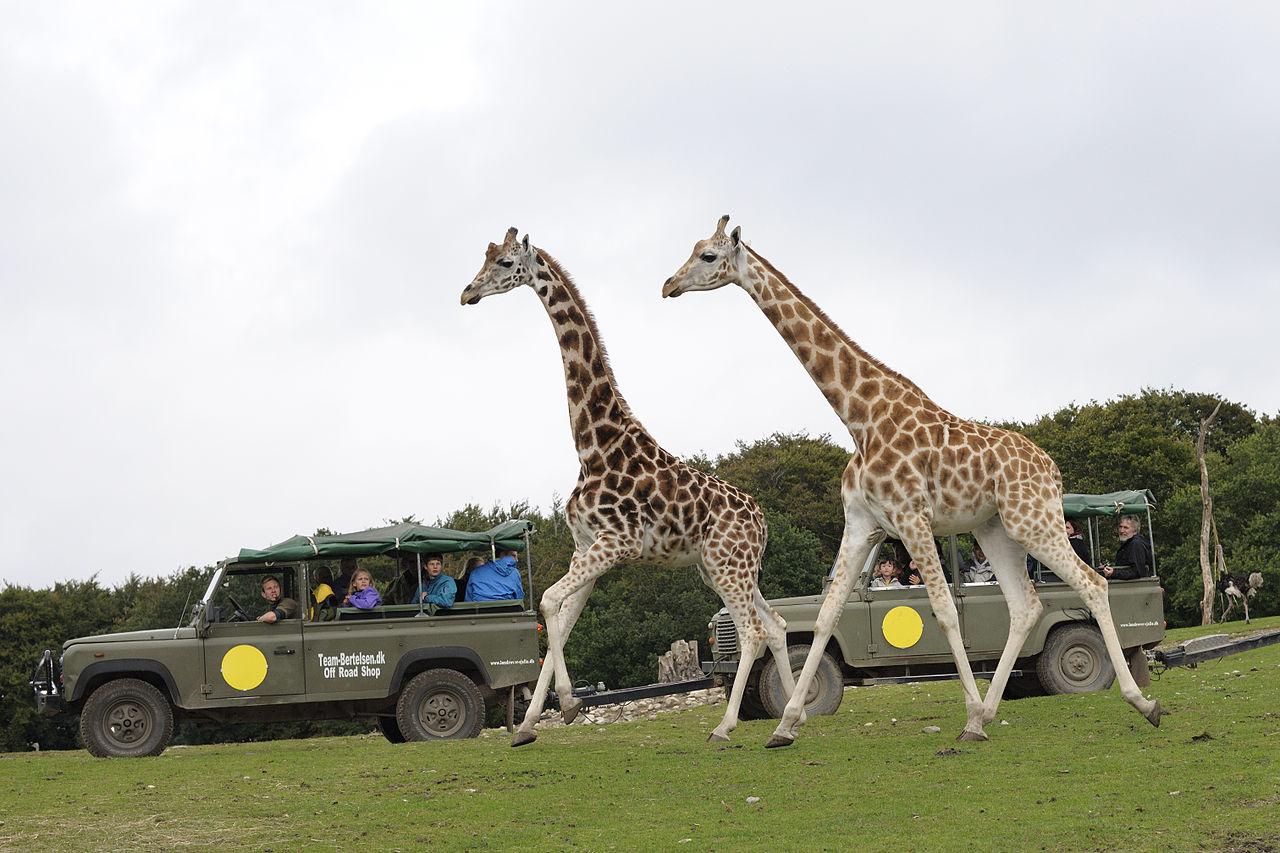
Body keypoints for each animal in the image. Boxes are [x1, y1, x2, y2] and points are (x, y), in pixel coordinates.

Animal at [460, 225, 798, 742]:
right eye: (485, 256)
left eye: (503, 263)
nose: (467, 293)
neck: (592, 445)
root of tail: (762, 522)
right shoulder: (585, 547)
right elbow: (560, 619)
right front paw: (532, 724)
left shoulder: (615, 544)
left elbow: (549, 603)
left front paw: (568, 703)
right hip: (726, 567)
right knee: (776, 625)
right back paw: (792, 721)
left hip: (727, 566)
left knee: (752, 632)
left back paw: (725, 726)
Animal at [655, 213, 1167, 742]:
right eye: (693, 247)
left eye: (709, 255)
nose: (668, 285)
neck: (859, 419)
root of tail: (1052, 469)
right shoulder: (863, 524)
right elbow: (825, 615)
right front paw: (787, 724)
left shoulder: (911, 516)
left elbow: (943, 611)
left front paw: (967, 712)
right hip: (995, 529)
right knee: (1026, 605)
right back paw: (989, 714)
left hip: (1034, 520)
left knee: (1093, 584)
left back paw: (1141, 703)